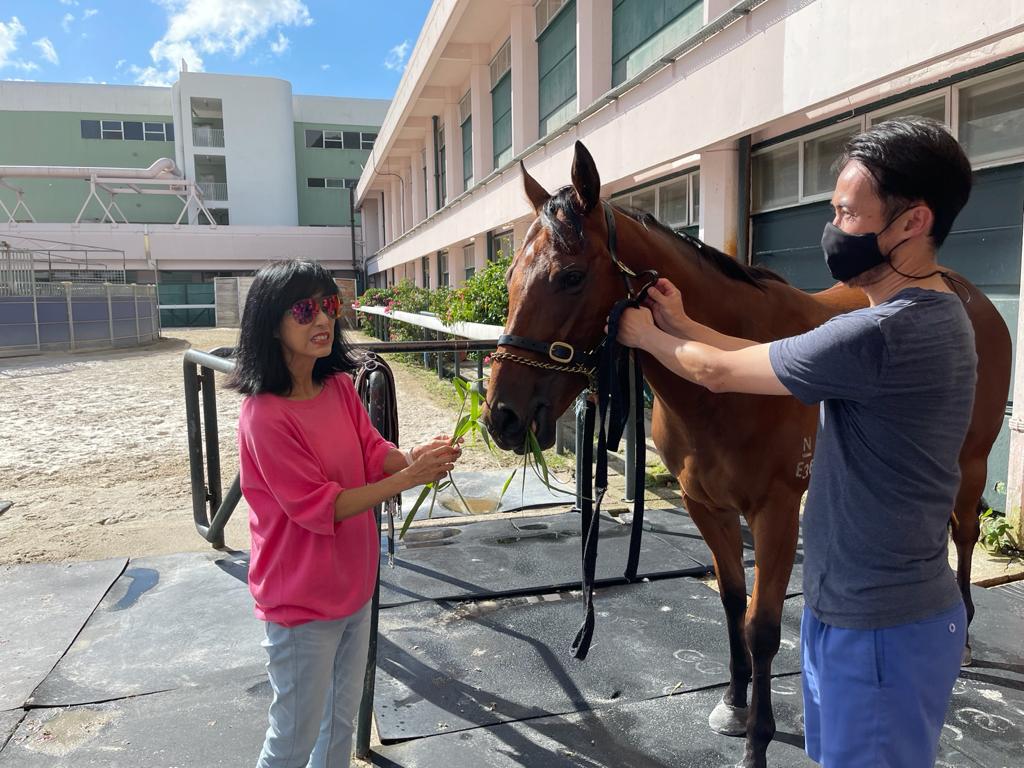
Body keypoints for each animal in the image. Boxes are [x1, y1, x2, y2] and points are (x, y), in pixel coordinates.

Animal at [483, 143, 1011, 768]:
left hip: (970, 461)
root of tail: (967, 292)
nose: (501, 417)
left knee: (964, 534)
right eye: (510, 277)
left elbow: (762, 624)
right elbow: (733, 600)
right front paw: (734, 703)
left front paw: (757, 742)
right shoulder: (705, 504)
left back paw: (964, 638)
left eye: (570, 276)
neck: (722, 391)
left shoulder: (776, 511)